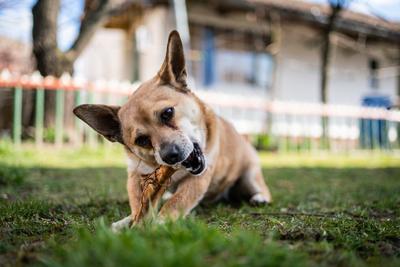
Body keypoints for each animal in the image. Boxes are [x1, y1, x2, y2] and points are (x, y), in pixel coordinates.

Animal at [73, 29, 270, 230]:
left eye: (167, 113)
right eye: (141, 140)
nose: (170, 156)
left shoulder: (199, 178)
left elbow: (177, 201)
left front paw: (160, 223)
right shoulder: (136, 175)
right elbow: (138, 204)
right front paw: (128, 220)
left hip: (250, 175)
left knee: (263, 189)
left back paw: (259, 198)